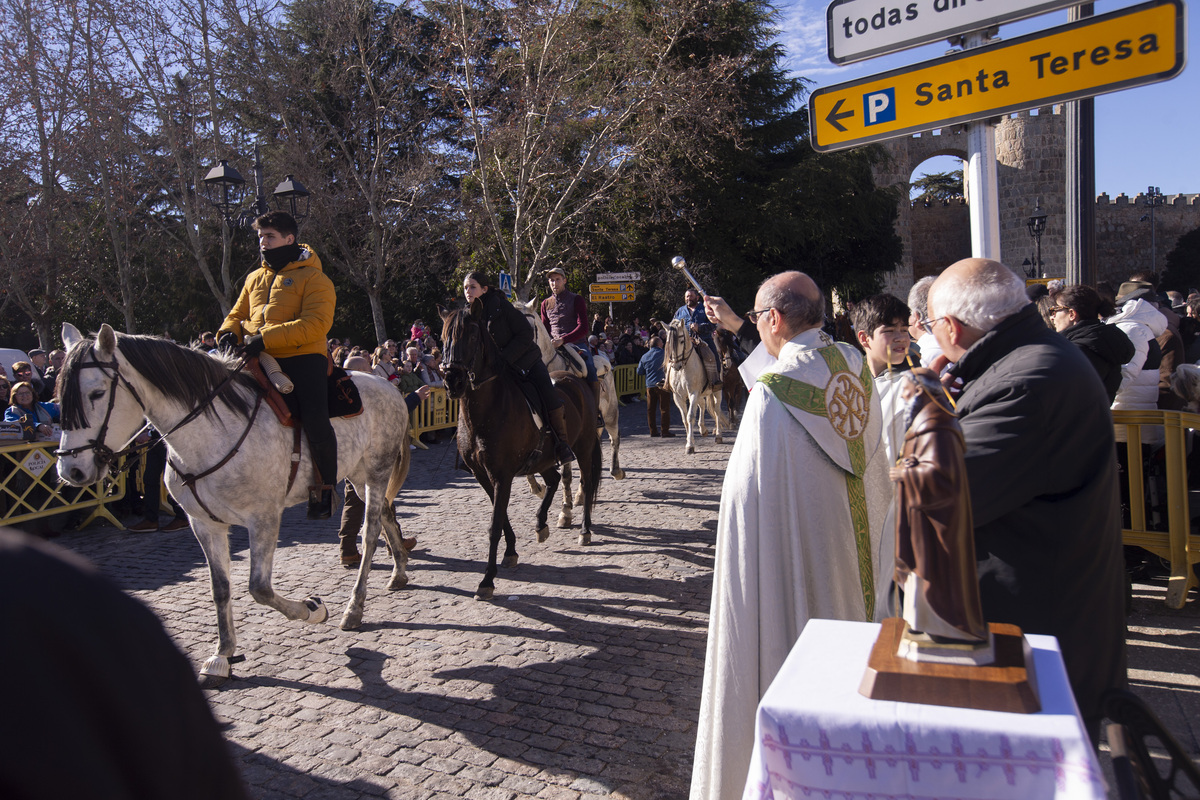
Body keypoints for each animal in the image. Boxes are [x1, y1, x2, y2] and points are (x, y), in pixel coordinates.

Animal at [55, 321, 412, 686]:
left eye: (97, 393)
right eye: (59, 398)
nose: (71, 470)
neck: (211, 434)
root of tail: (387, 384)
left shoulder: (264, 519)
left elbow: (259, 588)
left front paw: (312, 609)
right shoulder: (204, 524)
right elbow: (221, 588)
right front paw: (222, 654)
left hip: (376, 472)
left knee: (371, 531)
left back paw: (354, 607)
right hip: (357, 474)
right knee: (386, 514)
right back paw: (398, 570)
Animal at [441, 299, 600, 599]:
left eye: (471, 335)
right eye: (443, 337)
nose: (453, 380)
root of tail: (577, 381)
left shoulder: (502, 475)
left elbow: (494, 525)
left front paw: (487, 580)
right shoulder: (484, 475)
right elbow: (501, 517)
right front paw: (511, 553)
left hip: (584, 448)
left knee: (584, 482)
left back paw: (584, 530)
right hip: (544, 458)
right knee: (554, 480)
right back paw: (541, 524)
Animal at [662, 321, 724, 455]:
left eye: (681, 341)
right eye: (668, 341)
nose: (676, 366)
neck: (683, 368)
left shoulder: (693, 393)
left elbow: (690, 416)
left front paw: (690, 445)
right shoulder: (678, 397)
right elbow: (685, 419)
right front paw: (689, 440)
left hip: (717, 391)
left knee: (717, 410)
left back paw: (718, 435)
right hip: (701, 394)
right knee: (703, 405)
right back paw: (703, 429)